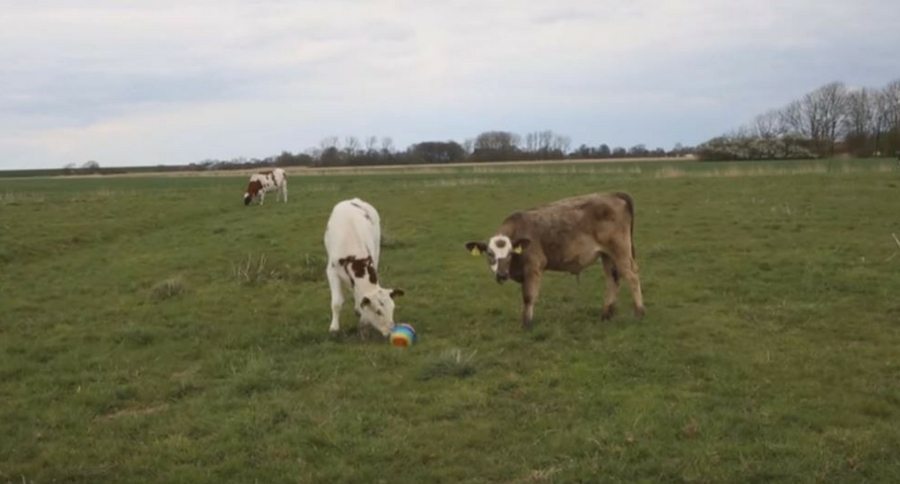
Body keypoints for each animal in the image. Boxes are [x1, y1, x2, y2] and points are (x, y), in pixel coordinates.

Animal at [324, 198, 404, 336]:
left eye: (393, 308)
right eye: (378, 311)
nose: (391, 331)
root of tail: (353, 199)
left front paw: (362, 318)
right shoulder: (331, 271)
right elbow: (336, 303)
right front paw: (334, 327)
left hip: (377, 247)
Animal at [465, 192, 644, 329]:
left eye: (510, 253)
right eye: (489, 254)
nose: (502, 274)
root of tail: (612, 194)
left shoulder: (534, 267)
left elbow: (528, 296)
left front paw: (527, 324)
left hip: (620, 252)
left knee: (632, 276)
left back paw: (639, 311)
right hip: (607, 255)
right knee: (613, 279)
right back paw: (606, 313)